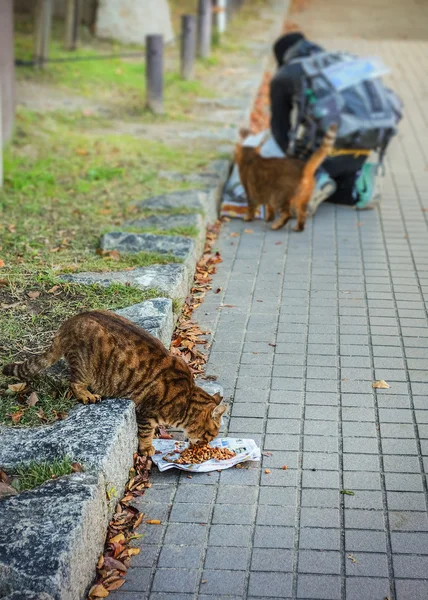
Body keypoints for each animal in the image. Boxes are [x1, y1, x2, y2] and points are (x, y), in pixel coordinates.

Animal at [3, 312, 226, 458]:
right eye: (210, 435)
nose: (206, 445)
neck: (186, 399)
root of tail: (68, 322)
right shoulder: (146, 413)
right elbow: (146, 433)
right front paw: (147, 448)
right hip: (85, 366)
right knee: (74, 382)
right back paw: (87, 395)